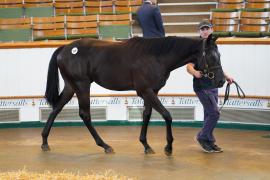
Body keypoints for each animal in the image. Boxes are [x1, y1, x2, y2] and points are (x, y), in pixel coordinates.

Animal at [42, 34, 225, 155]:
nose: (222, 81)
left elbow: (147, 115)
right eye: (211, 56)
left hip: (71, 87)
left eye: (219, 55)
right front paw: (168, 147)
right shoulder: (145, 91)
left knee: (56, 109)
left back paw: (44, 141)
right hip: (82, 86)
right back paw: (105, 145)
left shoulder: (152, 91)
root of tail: (65, 49)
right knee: (84, 114)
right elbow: (167, 115)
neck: (155, 56)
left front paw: (146, 145)